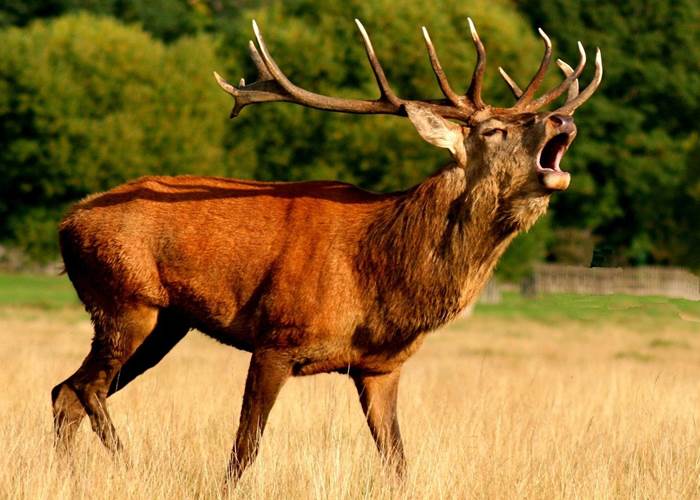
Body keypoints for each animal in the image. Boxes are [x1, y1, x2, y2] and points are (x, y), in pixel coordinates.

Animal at [51, 17, 601, 482]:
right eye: (492, 130)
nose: (561, 120)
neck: (380, 278)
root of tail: (66, 222)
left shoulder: (381, 366)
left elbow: (397, 461)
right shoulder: (276, 336)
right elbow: (244, 450)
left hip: (167, 322)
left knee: (65, 392)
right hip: (124, 300)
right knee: (85, 387)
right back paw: (128, 463)